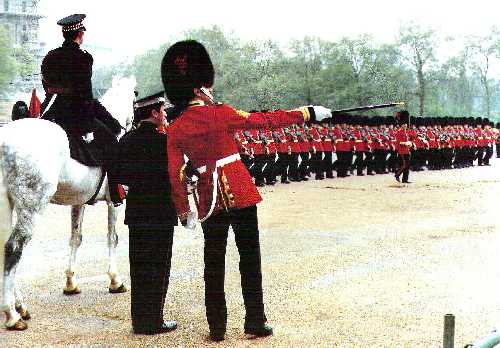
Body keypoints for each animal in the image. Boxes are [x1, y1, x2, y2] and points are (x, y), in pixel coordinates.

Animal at [0, 75, 137, 330]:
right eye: (134, 99)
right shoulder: (114, 201)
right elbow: (112, 238)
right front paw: (115, 280)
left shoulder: (78, 202)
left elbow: (76, 237)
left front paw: (71, 283)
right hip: (30, 207)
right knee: (13, 248)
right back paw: (12, 314)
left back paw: (20, 306)